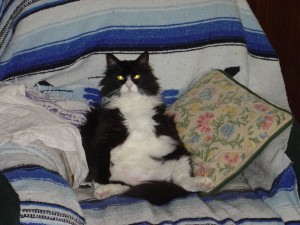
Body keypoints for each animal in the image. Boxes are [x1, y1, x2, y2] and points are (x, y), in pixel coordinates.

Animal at [78, 51, 212, 205]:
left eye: (136, 76)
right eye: (120, 77)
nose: (129, 85)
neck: (132, 105)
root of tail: (143, 181)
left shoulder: (165, 125)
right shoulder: (101, 139)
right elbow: (101, 168)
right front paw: (101, 186)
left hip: (181, 155)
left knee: (182, 181)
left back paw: (204, 183)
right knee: (124, 187)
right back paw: (104, 191)